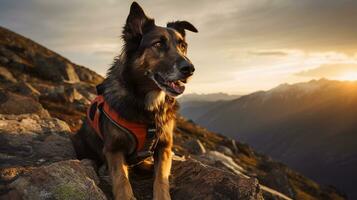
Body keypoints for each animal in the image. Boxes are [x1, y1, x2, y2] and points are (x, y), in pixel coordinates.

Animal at [73, 1, 197, 200]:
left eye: (183, 45)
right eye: (158, 44)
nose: (190, 69)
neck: (148, 104)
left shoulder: (164, 146)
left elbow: (161, 178)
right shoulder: (114, 149)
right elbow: (122, 180)